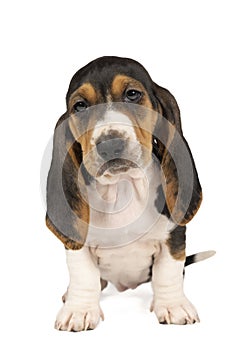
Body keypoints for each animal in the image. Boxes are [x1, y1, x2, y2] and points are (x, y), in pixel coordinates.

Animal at [46, 56, 215, 330]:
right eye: (80, 106)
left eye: (132, 94)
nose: (110, 143)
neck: (122, 188)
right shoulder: (78, 243)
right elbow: (84, 275)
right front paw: (79, 310)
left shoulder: (174, 235)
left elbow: (168, 272)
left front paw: (173, 306)